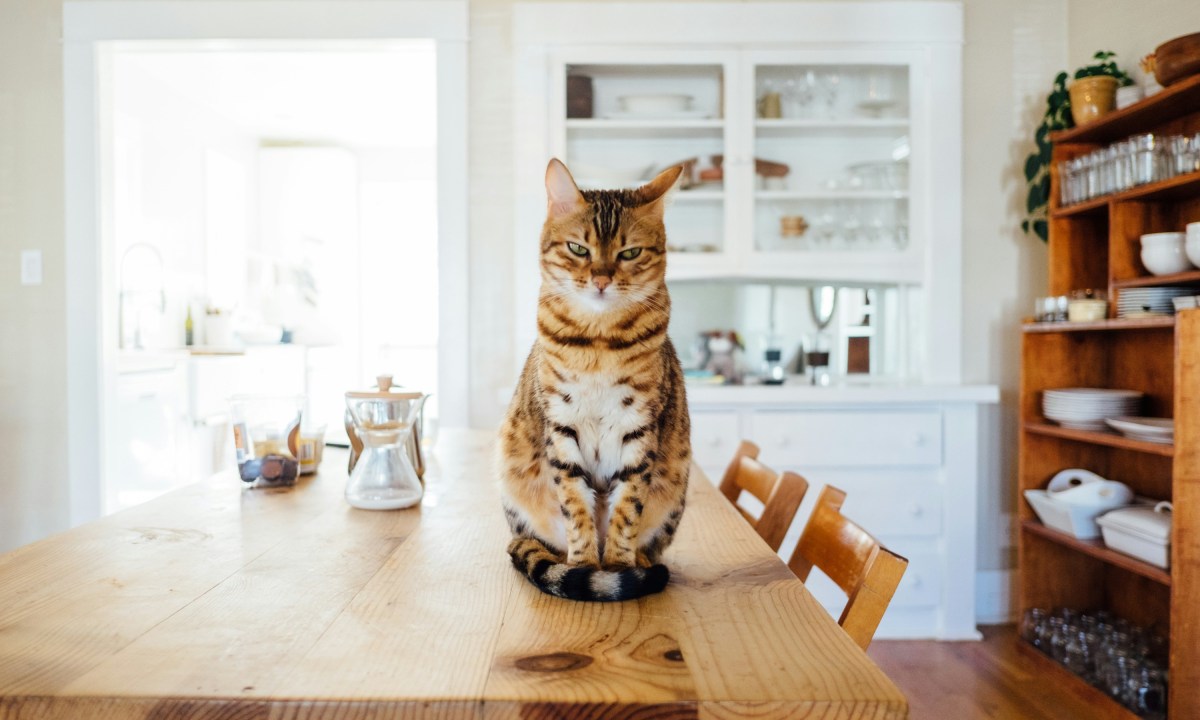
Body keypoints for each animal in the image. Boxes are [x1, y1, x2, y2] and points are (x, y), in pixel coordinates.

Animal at [496, 158, 691, 602]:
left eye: (630, 252)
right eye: (578, 249)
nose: (601, 279)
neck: (599, 343)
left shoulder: (639, 428)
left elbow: (627, 508)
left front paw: (617, 566)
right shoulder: (561, 425)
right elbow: (575, 505)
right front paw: (584, 566)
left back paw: (640, 563)